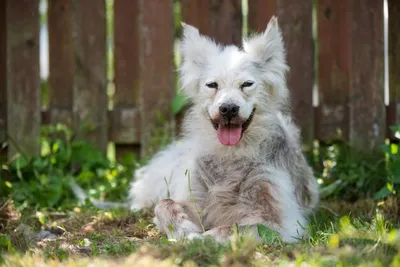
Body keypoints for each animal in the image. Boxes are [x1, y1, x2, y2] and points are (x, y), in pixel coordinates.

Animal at [128, 15, 318, 244]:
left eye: (247, 84)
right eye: (212, 85)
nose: (228, 108)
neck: (231, 154)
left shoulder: (282, 222)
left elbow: (234, 227)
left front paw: (202, 238)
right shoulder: (195, 200)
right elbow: (164, 205)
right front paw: (183, 229)